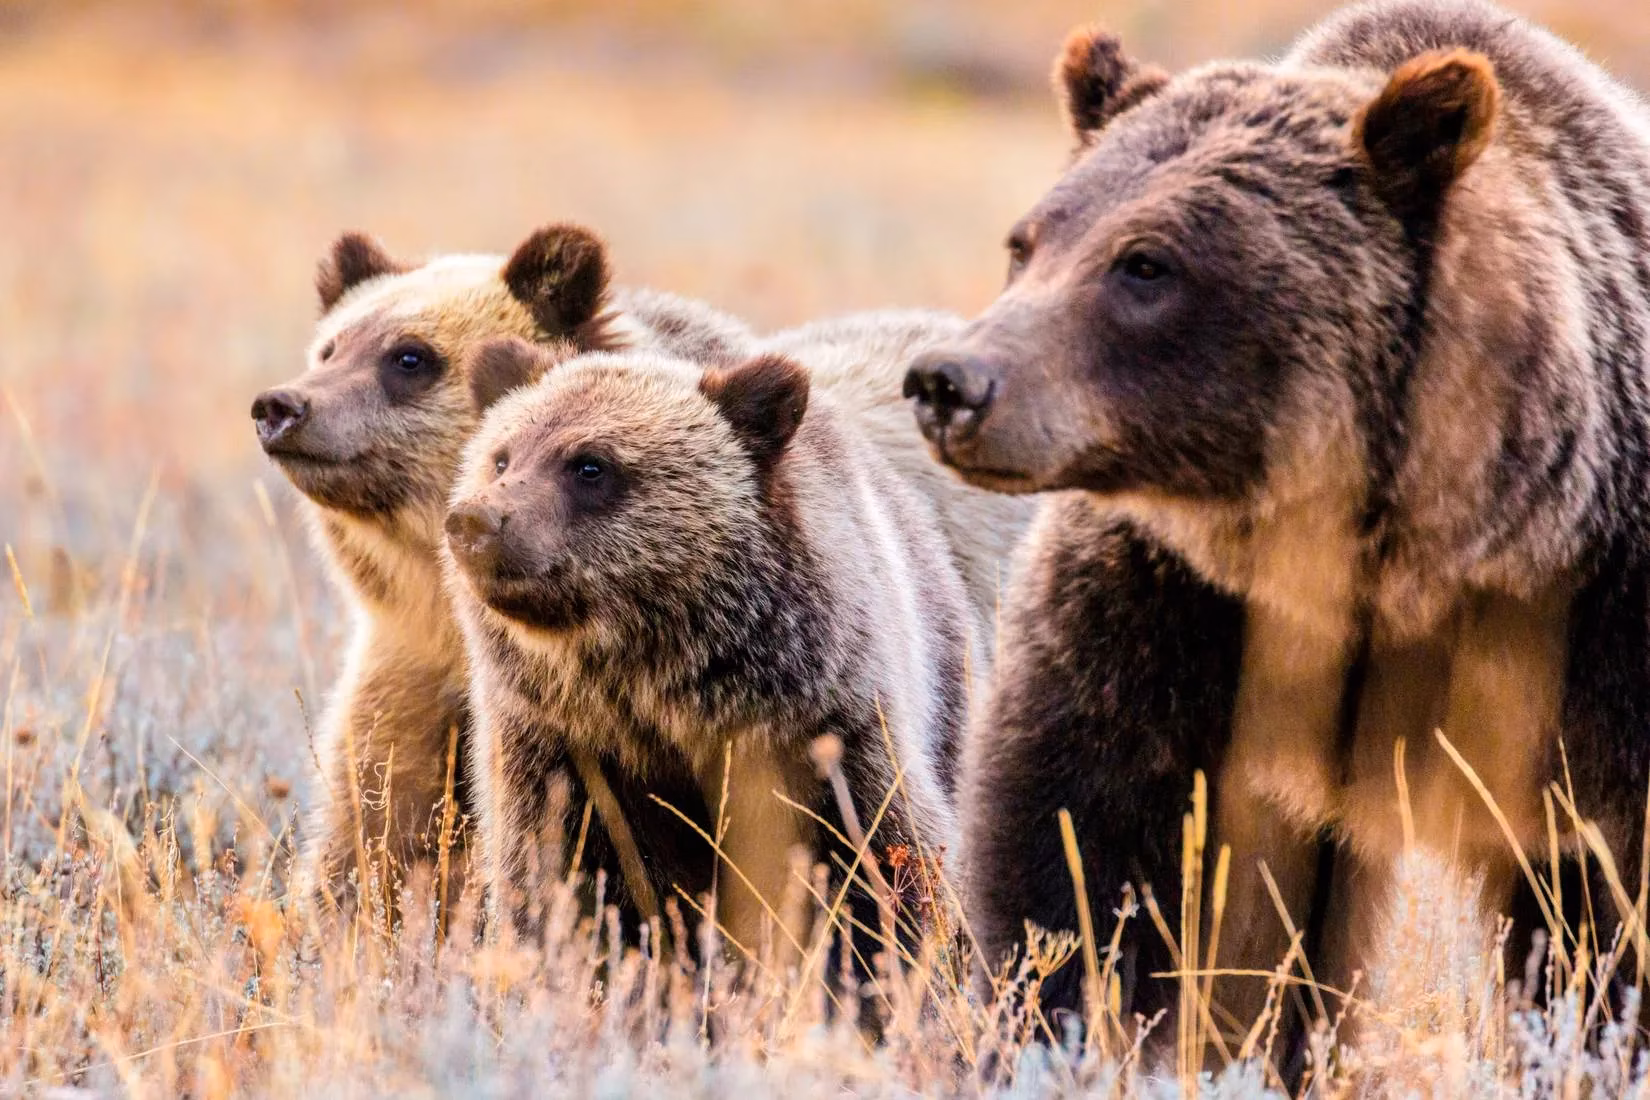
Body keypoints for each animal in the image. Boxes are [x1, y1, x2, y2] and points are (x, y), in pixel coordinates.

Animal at [442, 338, 987, 990]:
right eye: (501, 457)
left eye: (590, 465)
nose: (475, 521)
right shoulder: (565, 755)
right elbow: (564, 885)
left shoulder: (823, 733)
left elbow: (879, 873)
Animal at [903, 0, 1650, 1055]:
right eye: (1028, 242)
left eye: (1146, 263)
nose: (951, 382)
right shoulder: (1176, 614)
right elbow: (1088, 851)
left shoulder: (1599, 629)